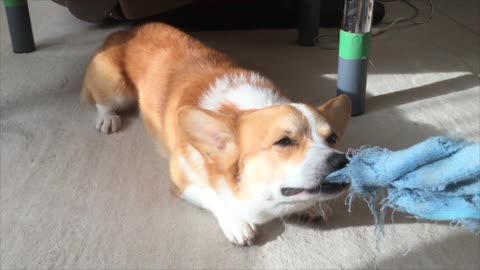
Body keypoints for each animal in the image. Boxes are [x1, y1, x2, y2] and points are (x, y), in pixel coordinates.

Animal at [82, 23, 350, 246]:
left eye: (332, 139)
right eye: (284, 142)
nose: (342, 161)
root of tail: (126, 31)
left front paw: (312, 207)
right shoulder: (182, 182)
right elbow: (214, 196)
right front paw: (237, 223)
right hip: (116, 87)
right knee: (102, 101)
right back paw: (107, 118)